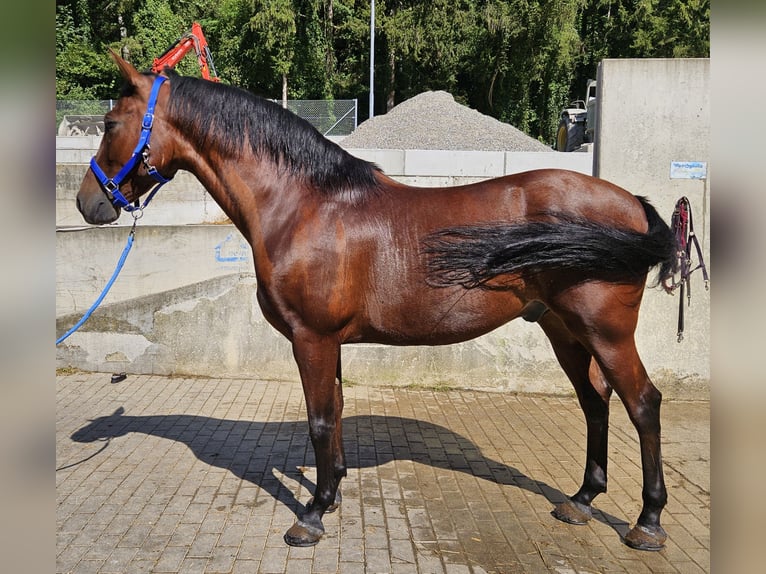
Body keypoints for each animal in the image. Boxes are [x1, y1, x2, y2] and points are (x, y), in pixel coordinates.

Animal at [76, 54, 680, 552]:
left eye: (110, 124)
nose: (88, 203)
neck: (303, 204)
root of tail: (633, 204)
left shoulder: (312, 338)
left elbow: (320, 419)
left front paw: (311, 516)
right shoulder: (330, 342)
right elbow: (337, 412)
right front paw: (332, 493)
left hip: (605, 332)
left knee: (643, 403)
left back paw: (647, 523)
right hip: (563, 330)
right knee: (595, 401)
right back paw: (581, 501)